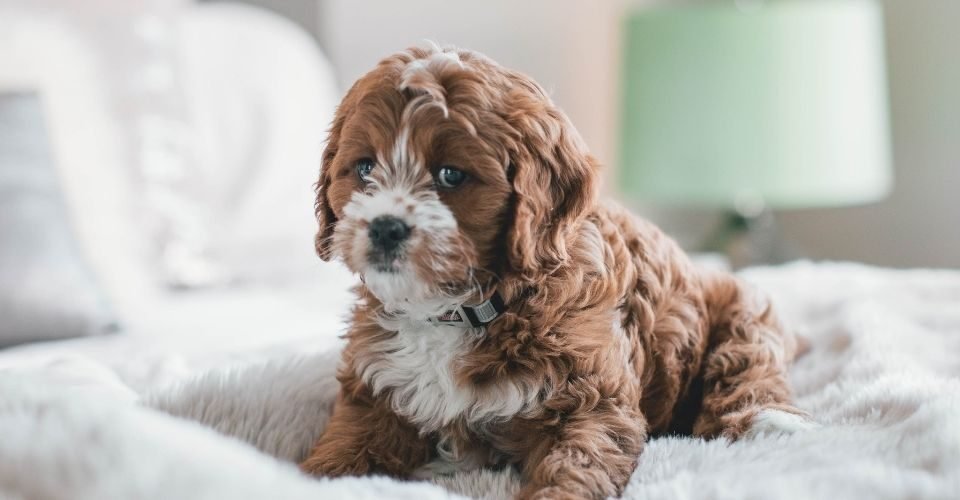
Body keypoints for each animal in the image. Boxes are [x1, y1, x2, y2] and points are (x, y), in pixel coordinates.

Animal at [302, 45, 808, 498]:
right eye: (364, 167)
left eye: (450, 175)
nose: (385, 228)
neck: (460, 308)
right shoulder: (375, 393)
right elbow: (345, 447)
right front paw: (310, 477)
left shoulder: (591, 401)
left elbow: (575, 466)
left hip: (743, 312)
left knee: (748, 364)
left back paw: (769, 424)